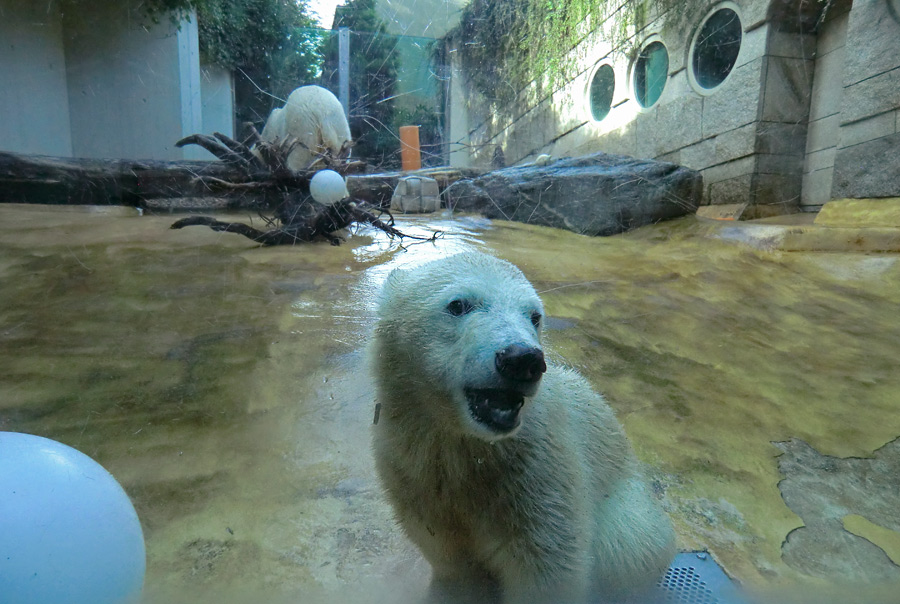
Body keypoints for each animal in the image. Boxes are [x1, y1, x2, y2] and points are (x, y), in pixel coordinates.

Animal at [370, 251, 676, 604]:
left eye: (535, 316)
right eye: (458, 305)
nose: (521, 359)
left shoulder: (542, 476)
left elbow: (550, 566)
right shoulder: (414, 475)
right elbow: (452, 560)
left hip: (629, 519)